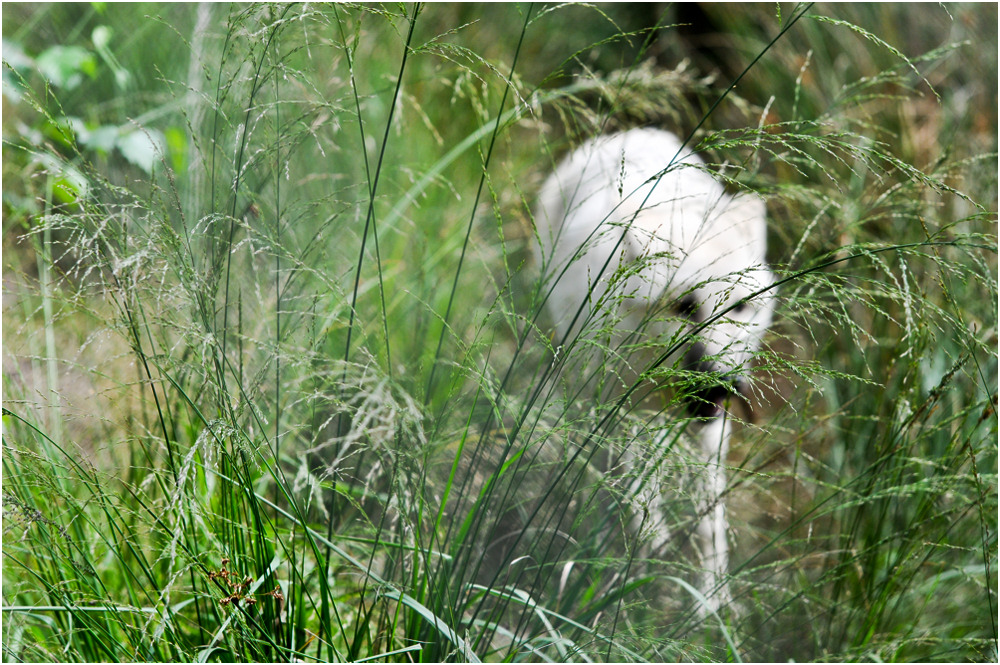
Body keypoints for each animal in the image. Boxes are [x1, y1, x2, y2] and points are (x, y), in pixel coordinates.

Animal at [536, 127, 776, 616]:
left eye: (741, 308)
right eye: (685, 307)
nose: (723, 386)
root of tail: (627, 134)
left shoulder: (711, 429)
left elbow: (710, 522)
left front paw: (711, 602)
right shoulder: (617, 410)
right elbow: (637, 488)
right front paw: (648, 553)